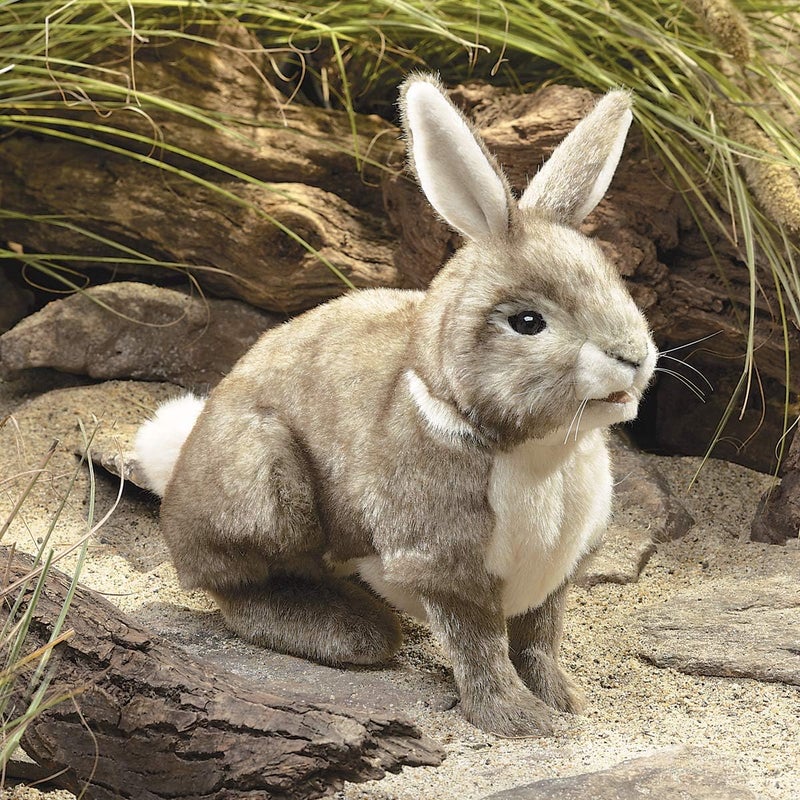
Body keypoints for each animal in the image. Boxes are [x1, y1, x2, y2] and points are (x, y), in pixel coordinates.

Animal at [134, 73, 657, 737]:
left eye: (617, 282)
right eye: (527, 322)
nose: (633, 356)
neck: (544, 453)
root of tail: (177, 471)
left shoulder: (555, 576)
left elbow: (540, 640)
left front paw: (565, 701)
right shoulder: (445, 567)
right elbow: (482, 648)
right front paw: (519, 721)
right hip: (266, 486)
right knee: (236, 587)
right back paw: (350, 632)